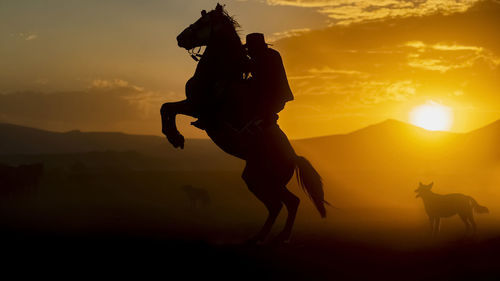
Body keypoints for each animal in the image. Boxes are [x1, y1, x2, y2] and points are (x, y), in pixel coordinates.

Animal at [159, 3, 328, 242]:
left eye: (202, 22)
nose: (179, 38)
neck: (217, 74)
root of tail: (294, 157)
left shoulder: (197, 107)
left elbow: (168, 109)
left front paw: (175, 137)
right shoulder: (190, 104)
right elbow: (166, 107)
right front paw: (174, 137)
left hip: (263, 179)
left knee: (283, 204)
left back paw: (272, 237)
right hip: (255, 178)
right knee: (283, 203)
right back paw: (264, 237)